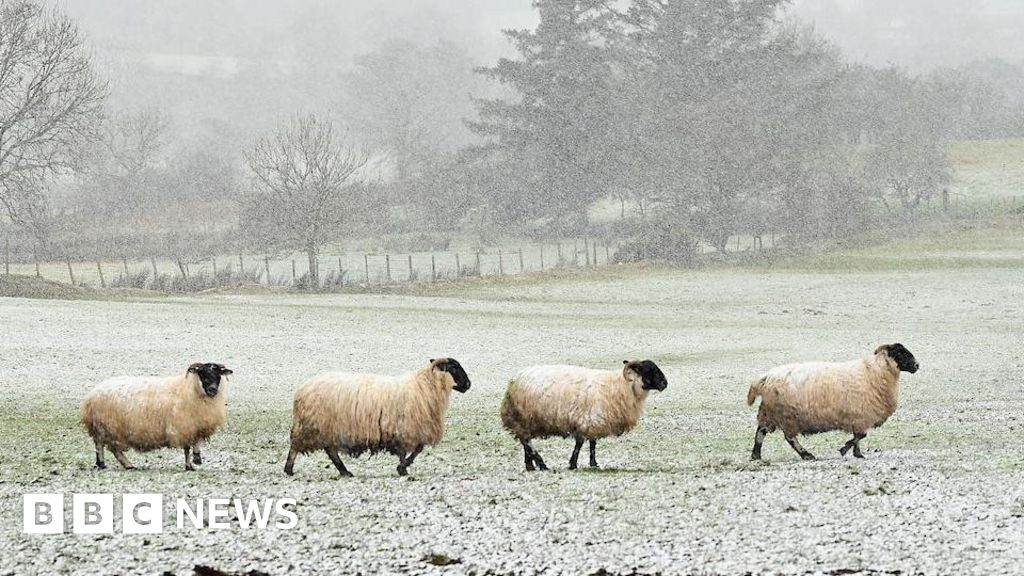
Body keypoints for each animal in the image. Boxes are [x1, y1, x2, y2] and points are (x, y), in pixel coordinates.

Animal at [81, 360, 234, 469]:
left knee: (105, 446)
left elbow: (196, 441)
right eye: (203, 374)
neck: (189, 389)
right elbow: (186, 448)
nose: (213, 390)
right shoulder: (182, 425)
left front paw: (197, 458)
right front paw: (189, 465)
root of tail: (91, 396)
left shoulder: (196, 425)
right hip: (108, 427)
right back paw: (119, 464)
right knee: (105, 446)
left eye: (218, 375)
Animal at [282, 356, 468, 477]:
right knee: (296, 447)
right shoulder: (406, 428)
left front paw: (402, 467)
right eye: (454, 367)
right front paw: (403, 468)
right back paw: (289, 470)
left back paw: (344, 471)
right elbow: (413, 450)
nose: (468, 384)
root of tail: (302, 389)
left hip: (325, 427)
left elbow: (416, 449)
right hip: (312, 425)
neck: (425, 385)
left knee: (330, 450)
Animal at [499, 358, 667, 471]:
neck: (621, 386)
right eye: (648, 370)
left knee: (524, 441)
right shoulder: (586, 419)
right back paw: (541, 464)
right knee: (527, 442)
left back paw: (530, 465)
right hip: (522, 417)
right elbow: (580, 443)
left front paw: (593, 463)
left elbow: (592, 443)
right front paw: (573, 464)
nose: (665, 383)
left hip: (523, 419)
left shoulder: (593, 420)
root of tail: (514, 380)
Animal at [745, 342, 921, 459]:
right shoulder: (861, 415)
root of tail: (765, 378)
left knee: (760, 431)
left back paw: (756, 455)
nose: (917, 365)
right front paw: (845, 449)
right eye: (900, 353)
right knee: (789, 438)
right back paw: (806, 455)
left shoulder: (858, 416)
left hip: (769, 411)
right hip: (786, 415)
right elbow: (860, 435)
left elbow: (859, 436)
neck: (874, 372)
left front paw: (857, 453)